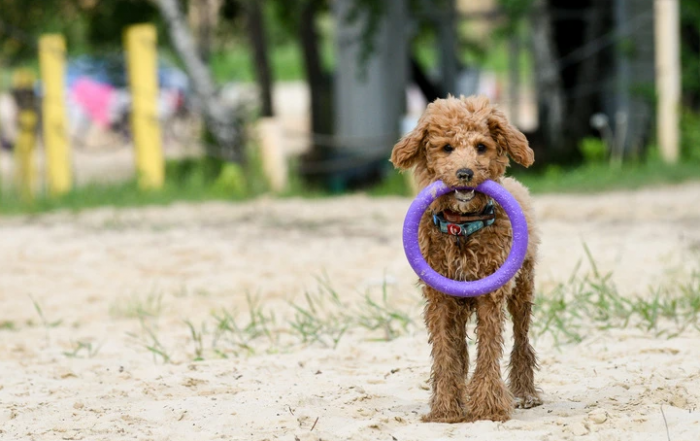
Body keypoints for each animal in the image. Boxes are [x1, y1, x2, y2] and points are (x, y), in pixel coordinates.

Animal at [392, 94, 544, 422]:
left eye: (481, 147)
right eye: (447, 147)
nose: (464, 173)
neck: (461, 228)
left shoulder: (491, 296)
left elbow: (488, 348)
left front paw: (488, 406)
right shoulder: (439, 299)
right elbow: (445, 352)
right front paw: (445, 408)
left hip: (523, 289)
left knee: (522, 339)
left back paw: (525, 393)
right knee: (460, 349)